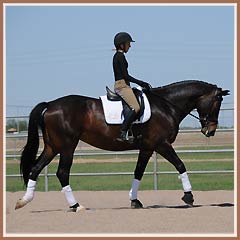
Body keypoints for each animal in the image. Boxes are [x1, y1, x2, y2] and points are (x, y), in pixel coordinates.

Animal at [14, 79, 229, 211]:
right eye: (217, 103)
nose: (210, 131)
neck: (166, 105)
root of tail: (50, 105)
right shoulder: (162, 144)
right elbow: (180, 165)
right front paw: (189, 197)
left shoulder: (147, 148)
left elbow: (138, 172)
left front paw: (135, 201)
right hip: (67, 146)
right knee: (62, 173)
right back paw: (76, 206)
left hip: (53, 147)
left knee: (35, 169)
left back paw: (23, 201)